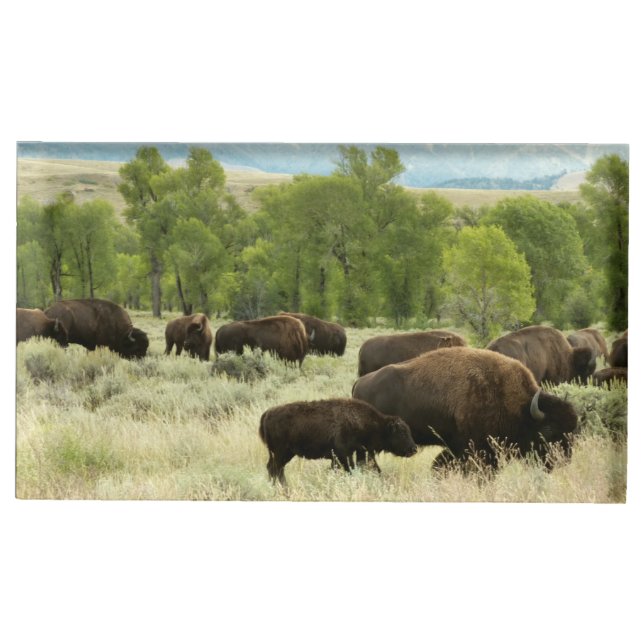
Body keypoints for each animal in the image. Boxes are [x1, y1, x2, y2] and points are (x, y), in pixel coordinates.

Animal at [258, 398, 418, 485]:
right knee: (276, 469)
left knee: (273, 468)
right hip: (281, 453)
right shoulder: (344, 454)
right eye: (402, 432)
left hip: (284, 454)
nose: (414, 449)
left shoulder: (348, 455)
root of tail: (267, 413)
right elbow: (350, 469)